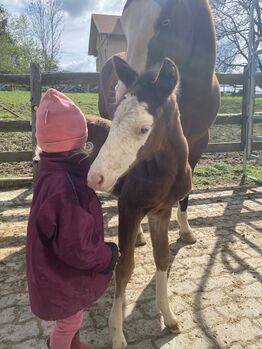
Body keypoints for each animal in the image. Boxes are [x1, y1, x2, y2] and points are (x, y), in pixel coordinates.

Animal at [88, 57, 192, 348]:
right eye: (113, 120)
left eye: (144, 129)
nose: (95, 177)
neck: (163, 171)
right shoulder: (129, 208)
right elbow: (125, 267)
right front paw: (117, 333)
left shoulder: (161, 212)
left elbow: (163, 258)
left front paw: (169, 317)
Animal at [97, 0, 219, 245]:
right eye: (125, 25)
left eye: (165, 22)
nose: (123, 92)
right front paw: (139, 231)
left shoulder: (198, 143)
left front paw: (185, 229)